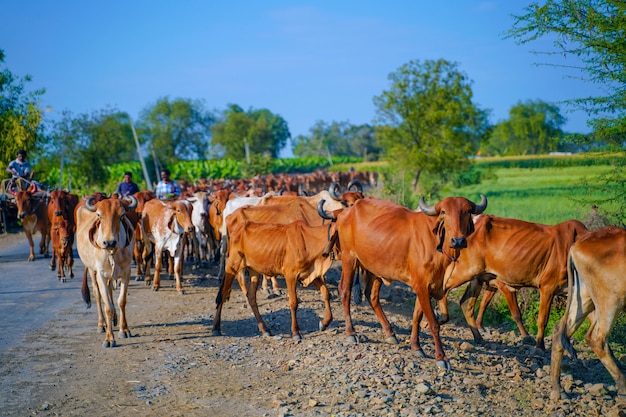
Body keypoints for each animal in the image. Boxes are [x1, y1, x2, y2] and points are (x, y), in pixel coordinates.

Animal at [210, 214, 336, 342]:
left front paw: (325, 323)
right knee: (223, 294)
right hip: (232, 265)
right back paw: (216, 327)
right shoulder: (290, 275)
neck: (309, 240)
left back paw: (264, 329)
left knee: (251, 297)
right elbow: (294, 302)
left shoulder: (311, 274)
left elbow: (326, 293)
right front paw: (295, 332)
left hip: (254, 271)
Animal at [320, 193, 486, 368]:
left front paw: (416, 347)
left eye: (468, 211)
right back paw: (351, 332)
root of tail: (345, 212)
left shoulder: (426, 285)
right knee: (345, 291)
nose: (458, 241)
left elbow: (416, 317)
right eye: (444, 212)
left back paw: (389, 333)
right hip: (349, 259)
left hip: (374, 268)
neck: (438, 246)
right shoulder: (421, 286)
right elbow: (433, 324)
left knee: (371, 296)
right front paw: (441, 358)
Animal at [442, 214, 588, 348]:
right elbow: (538, 319)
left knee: (466, 303)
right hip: (464, 270)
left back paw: (479, 338)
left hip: (476, 277)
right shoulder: (547, 287)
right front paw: (537, 345)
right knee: (443, 286)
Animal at [548, 226, 620, 402]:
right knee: (597, 339)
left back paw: (558, 389)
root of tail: (575, 247)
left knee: (560, 330)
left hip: (585, 297)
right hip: (610, 300)